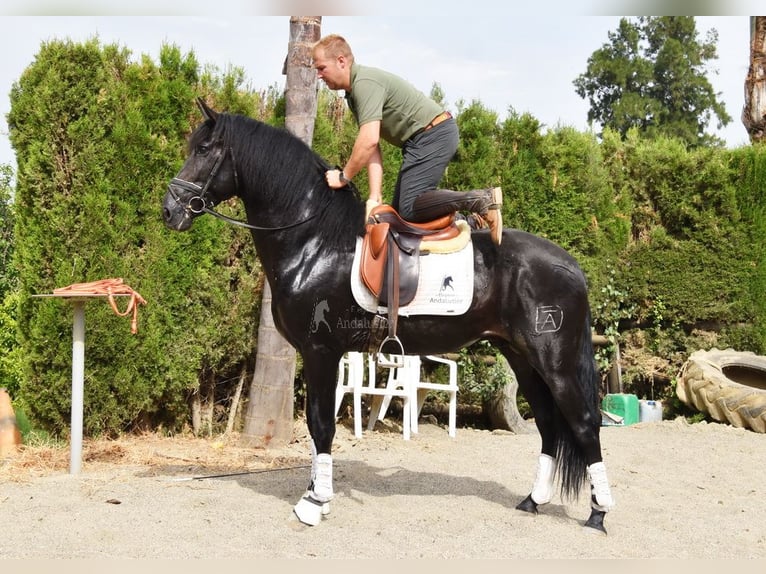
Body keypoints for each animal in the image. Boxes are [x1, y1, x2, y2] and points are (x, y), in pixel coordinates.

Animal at [162, 98, 615, 534]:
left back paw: (598, 513)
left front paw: (314, 503)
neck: (315, 241)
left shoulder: (320, 351)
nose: (170, 210)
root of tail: (571, 266)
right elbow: (316, 427)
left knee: (584, 423)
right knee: (549, 426)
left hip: (555, 361)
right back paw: (533, 501)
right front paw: (316, 491)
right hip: (520, 357)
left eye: (204, 149)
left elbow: (321, 425)